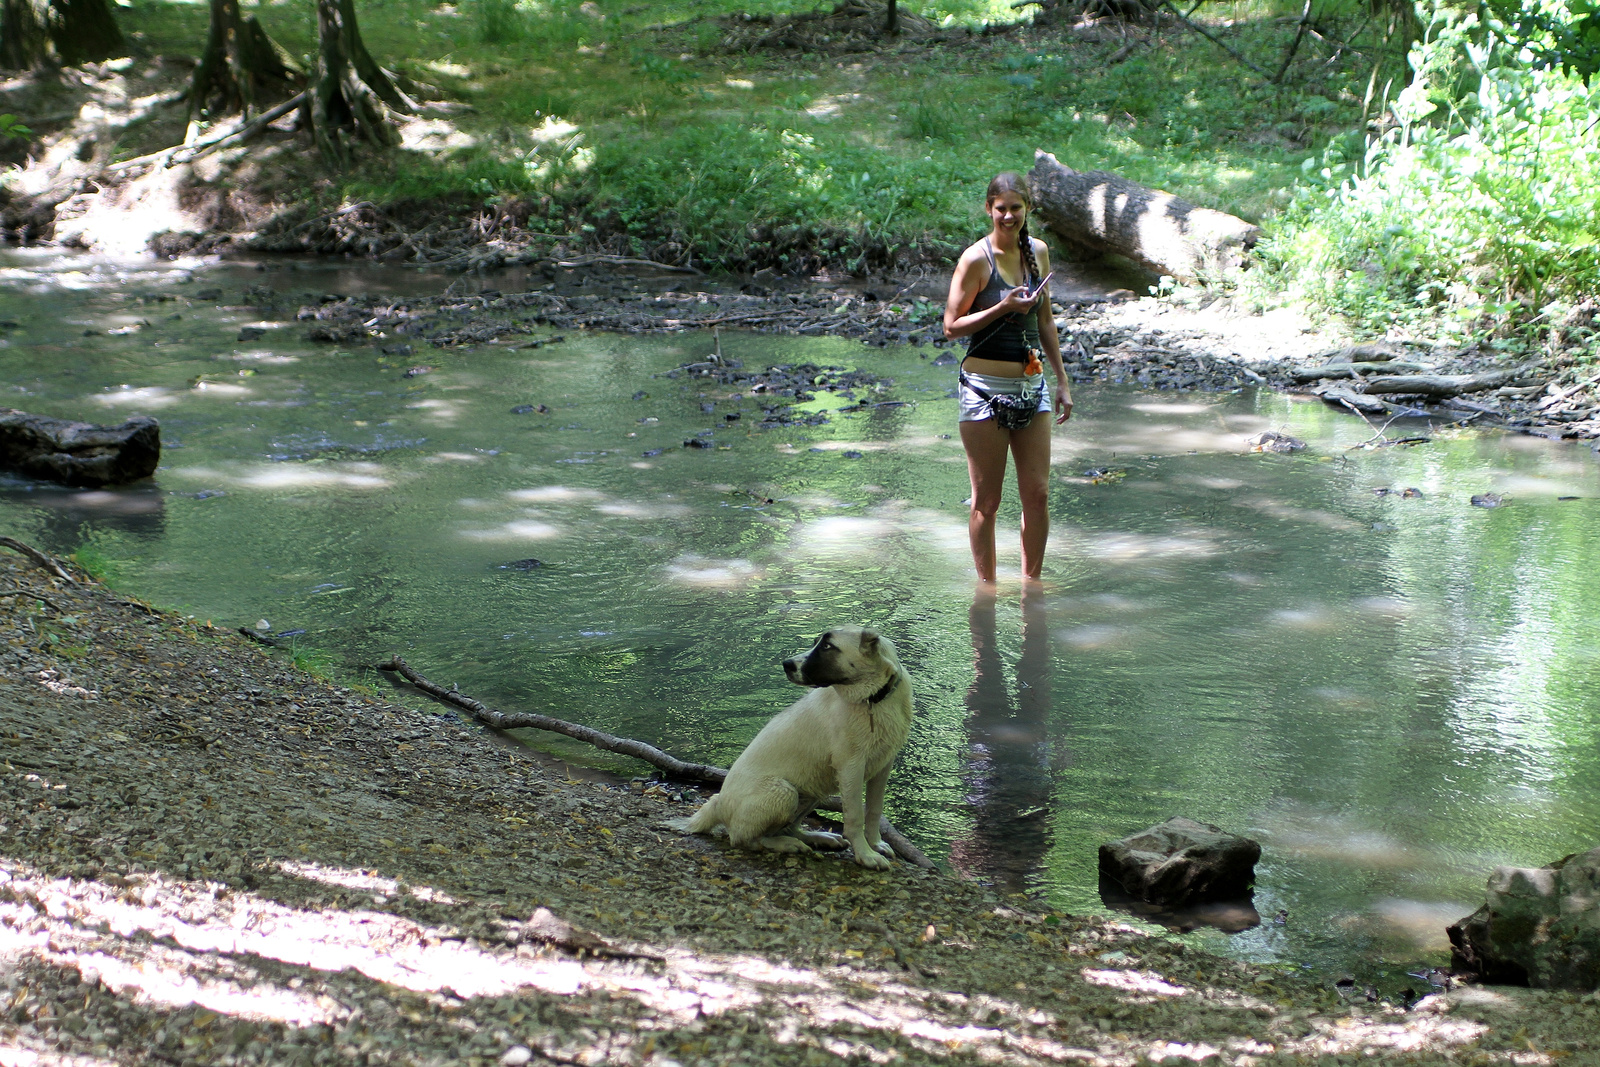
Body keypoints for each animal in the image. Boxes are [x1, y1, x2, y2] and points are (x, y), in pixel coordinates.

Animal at [684, 627, 915, 870]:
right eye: (817, 642)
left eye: (827, 646)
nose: (786, 664)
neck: (874, 700)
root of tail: (718, 803)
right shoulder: (850, 767)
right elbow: (854, 817)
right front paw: (865, 855)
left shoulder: (883, 765)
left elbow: (874, 810)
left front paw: (876, 844)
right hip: (784, 791)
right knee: (745, 838)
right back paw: (788, 844)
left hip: (813, 788)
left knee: (789, 827)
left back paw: (819, 838)